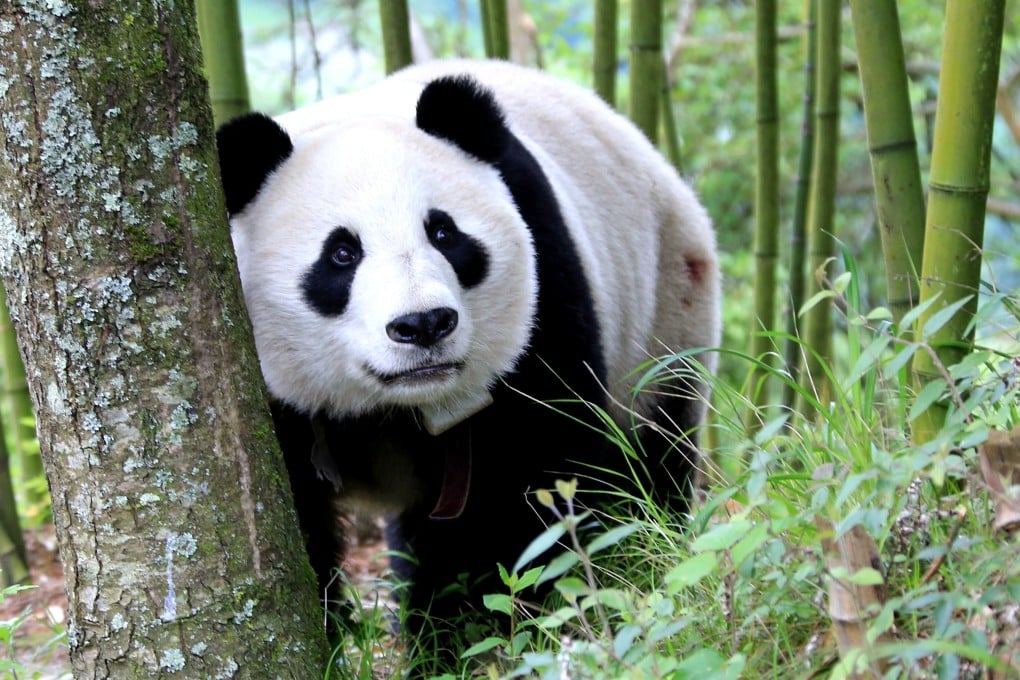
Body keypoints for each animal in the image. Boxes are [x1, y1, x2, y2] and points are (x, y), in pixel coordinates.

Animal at [216, 58, 720, 664]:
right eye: (341, 253)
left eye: (443, 232)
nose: (424, 324)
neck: (387, 405)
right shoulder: (264, 392)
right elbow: (292, 515)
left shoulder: (543, 290)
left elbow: (529, 487)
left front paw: (481, 639)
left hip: (665, 315)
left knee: (650, 462)